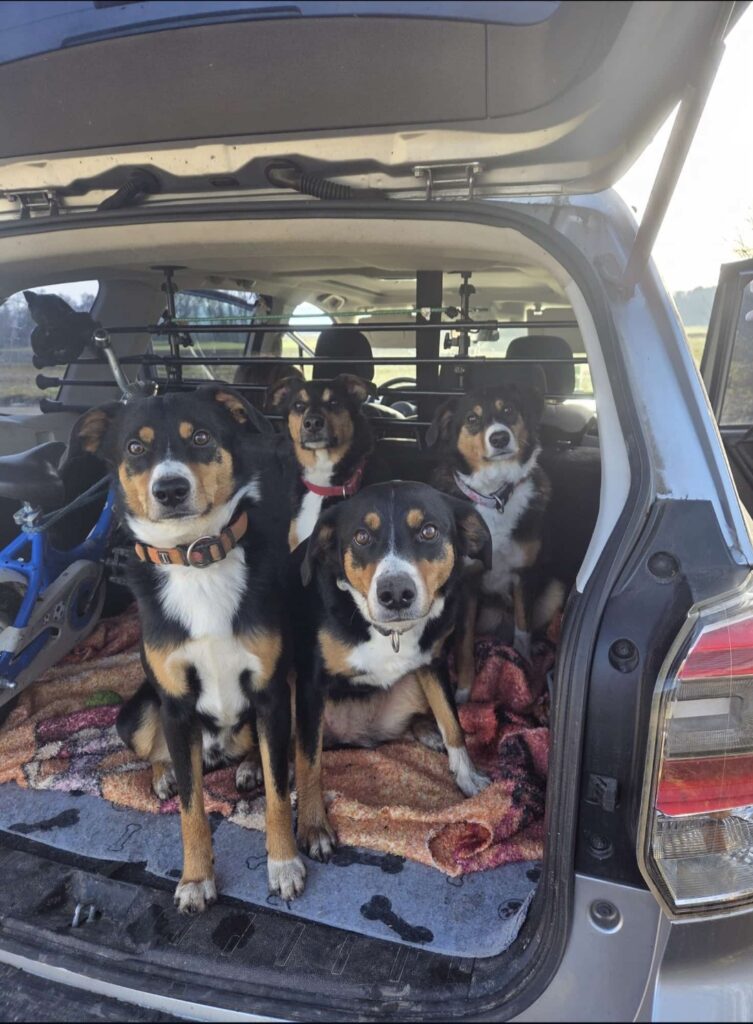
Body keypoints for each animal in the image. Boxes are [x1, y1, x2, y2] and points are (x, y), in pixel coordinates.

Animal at [67, 385, 305, 913]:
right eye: (135, 448)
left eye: (200, 437)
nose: (170, 489)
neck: (197, 559)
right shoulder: (175, 706)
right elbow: (191, 809)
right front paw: (196, 878)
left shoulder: (271, 692)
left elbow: (279, 793)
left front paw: (282, 864)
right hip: (134, 714)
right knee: (160, 754)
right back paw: (164, 776)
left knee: (261, 752)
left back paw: (247, 768)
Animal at [293, 481, 492, 861]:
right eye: (361, 536)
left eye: (429, 531)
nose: (396, 592)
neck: (388, 633)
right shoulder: (309, 684)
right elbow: (308, 763)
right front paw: (313, 826)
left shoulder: (432, 662)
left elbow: (453, 723)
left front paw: (468, 777)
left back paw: (426, 730)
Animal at [427, 384, 560, 691]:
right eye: (472, 419)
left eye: (508, 410)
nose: (499, 437)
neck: (495, 496)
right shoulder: (466, 585)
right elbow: (464, 645)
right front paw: (465, 691)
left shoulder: (523, 575)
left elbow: (523, 628)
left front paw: (524, 665)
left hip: (555, 590)